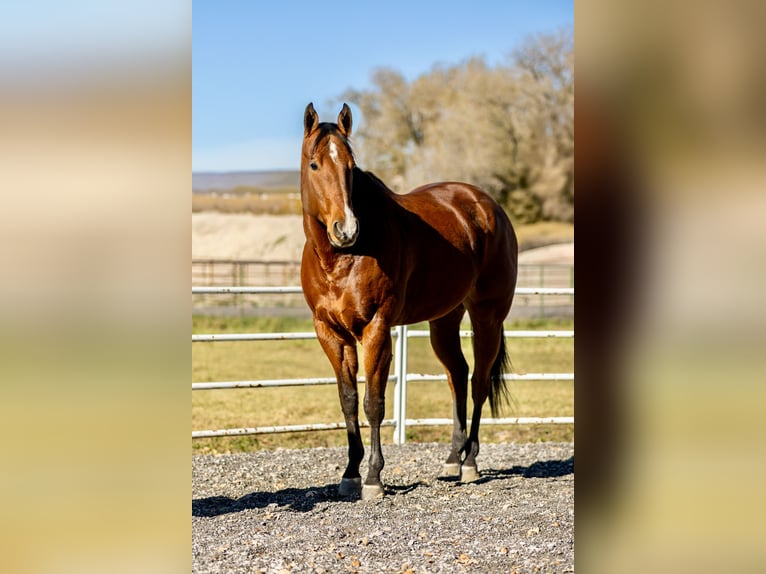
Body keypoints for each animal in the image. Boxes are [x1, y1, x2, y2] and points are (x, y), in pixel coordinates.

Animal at [300, 102, 518, 499]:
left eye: (351, 167)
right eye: (314, 164)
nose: (345, 229)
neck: (341, 259)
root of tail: (486, 205)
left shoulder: (376, 329)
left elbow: (373, 403)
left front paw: (373, 478)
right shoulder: (330, 333)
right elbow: (348, 401)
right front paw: (349, 474)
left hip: (488, 317)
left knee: (478, 381)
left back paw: (470, 463)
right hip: (444, 319)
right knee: (457, 375)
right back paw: (452, 459)